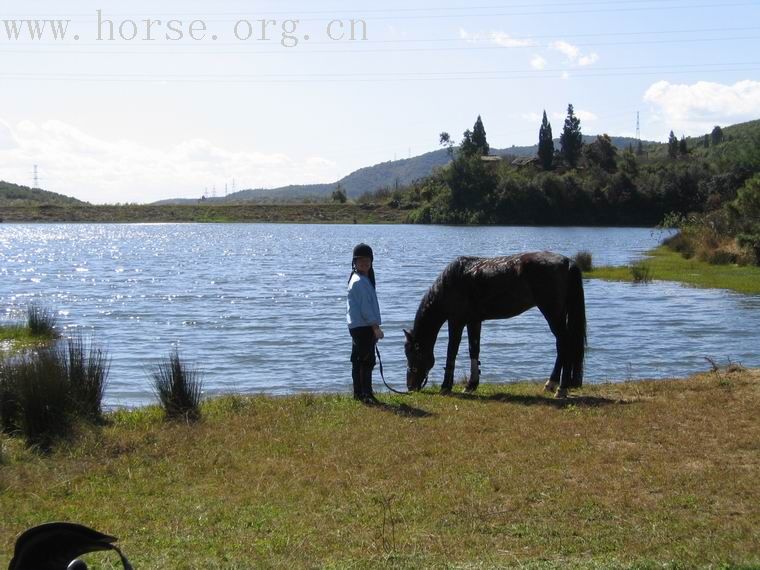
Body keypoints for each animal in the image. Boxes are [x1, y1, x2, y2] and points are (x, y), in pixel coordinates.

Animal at [404, 251, 588, 398]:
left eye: (412, 354)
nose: (410, 387)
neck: (452, 281)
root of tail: (568, 262)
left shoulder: (456, 321)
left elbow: (452, 352)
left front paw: (445, 387)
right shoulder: (473, 321)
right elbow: (473, 350)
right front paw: (471, 385)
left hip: (552, 313)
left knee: (565, 344)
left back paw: (561, 388)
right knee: (562, 346)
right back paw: (552, 384)